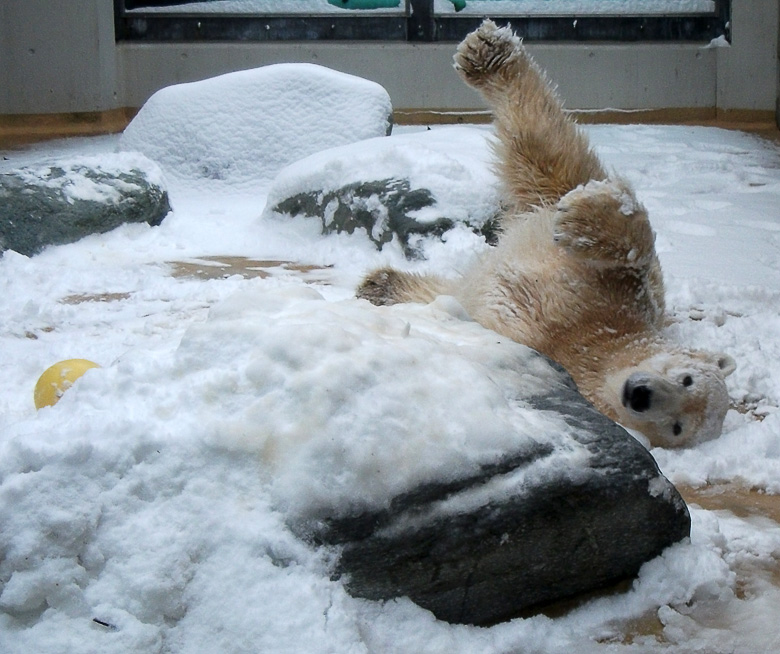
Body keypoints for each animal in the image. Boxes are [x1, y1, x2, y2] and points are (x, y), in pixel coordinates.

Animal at [356, 20, 736, 452]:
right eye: (686, 378)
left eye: (677, 427)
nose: (641, 395)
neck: (596, 342)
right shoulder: (623, 292)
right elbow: (636, 246)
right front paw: (582, 222)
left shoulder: (546, 352)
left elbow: (464, 311)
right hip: (554, 194)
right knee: (545, 145)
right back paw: (490, 54)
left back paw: (380, 285)